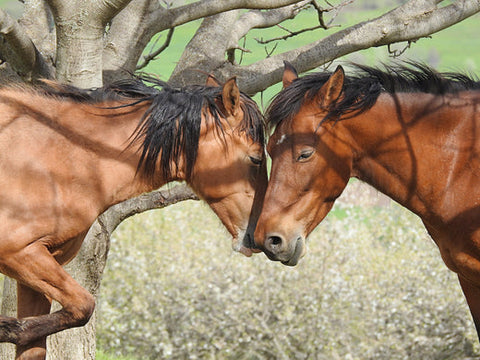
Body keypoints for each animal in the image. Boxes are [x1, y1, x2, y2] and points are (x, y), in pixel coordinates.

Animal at [0, 74, 266, 358]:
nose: (257, 235)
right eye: (256, 159)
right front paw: (6, 329)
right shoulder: (19, 253)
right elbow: (84, 305)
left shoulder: (37, 270)